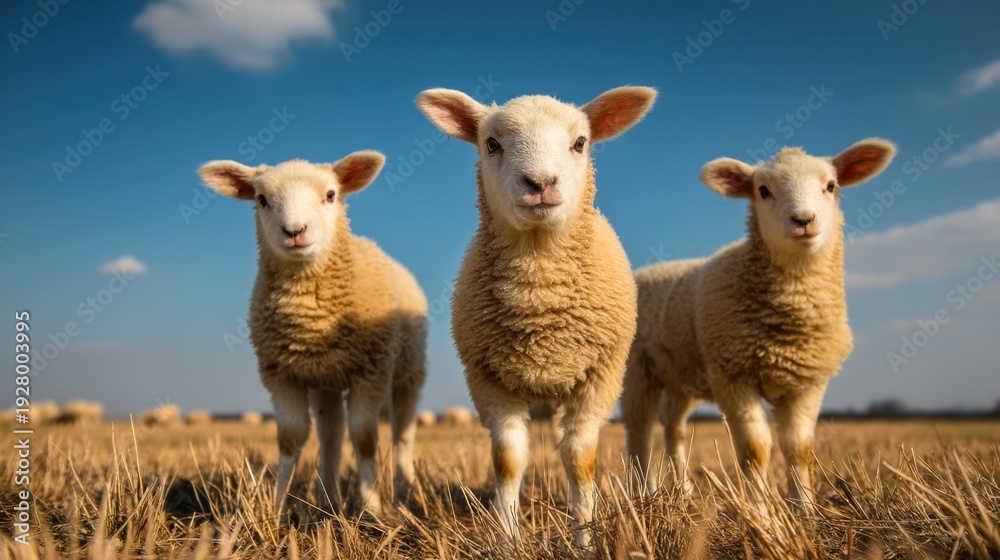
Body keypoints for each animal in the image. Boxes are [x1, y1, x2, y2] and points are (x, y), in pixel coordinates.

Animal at [197, 153, 427, 517]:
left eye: (331, 195)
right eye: (261, 199)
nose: (294, 231)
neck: (312, 322)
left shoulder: (371, 372)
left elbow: (364, 439)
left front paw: (372, 510)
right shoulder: (280, 375)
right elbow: (290, 440)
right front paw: (276, 511)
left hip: (409, 374)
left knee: (402, 435)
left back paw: (405, 491)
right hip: (324, 381)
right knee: (330, 435)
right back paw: (326, 498)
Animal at [417, 86, 656, 547]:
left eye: (580, 143)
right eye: (491, 144)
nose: (541, 183)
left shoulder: (598, 379)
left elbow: (580, 460)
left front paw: (584, 539)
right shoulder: (489, 380)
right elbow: (508, 459)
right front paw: (506, 539)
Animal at [622, 139, 896, 511]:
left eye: (831, 186)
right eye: (763, 190)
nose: (803, 220)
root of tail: (649, 270)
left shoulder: (808, 383)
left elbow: (799, 448)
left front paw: (805, 509)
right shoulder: (733, 377)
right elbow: (756, 450)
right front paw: (761, 512)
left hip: (681, 375)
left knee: (672, 427)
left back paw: (682, 494)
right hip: (638, 372)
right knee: (640, 432)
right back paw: (643, 496)